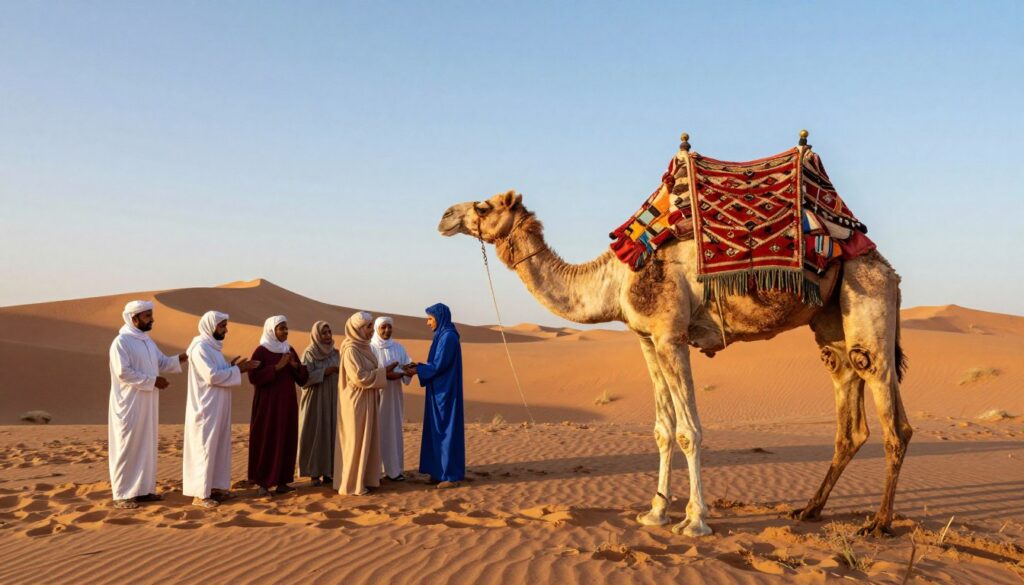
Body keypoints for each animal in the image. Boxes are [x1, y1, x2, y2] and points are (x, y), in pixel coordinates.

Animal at [437, 189, 912, 538]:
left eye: (484, 205)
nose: (444, 216)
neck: (615, 278)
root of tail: (890, 270)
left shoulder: (671, 335)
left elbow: (689, 432)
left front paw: (695, 520)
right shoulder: (647, 340)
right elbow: (663, 431)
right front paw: (655, 513)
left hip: (867, 304)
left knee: (894, 423)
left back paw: (878, 523)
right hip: (833, 325)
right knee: (850, 418)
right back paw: (809, 510)